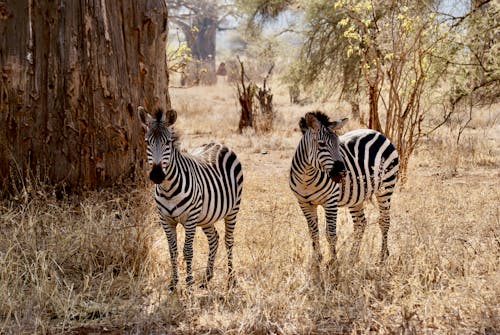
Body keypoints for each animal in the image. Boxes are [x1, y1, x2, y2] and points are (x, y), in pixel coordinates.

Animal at [139, 107, 244, 292]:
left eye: (168, 143)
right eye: (147, 142)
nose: (157, 175)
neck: (168, 189)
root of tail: (218, 143)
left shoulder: (190, 218)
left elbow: (187, 250)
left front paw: (188, 284)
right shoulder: (165, 219)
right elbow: (172, 250)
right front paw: (173, 283)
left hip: (232, 209)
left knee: (228, 241)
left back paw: (231, 279)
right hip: (206, 216)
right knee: (214, 239)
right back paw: (207, 277)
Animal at [290, 111, 398, 270]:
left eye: (338, 143)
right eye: (321, 144)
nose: (342, 173)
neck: (306, 178)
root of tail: (378, 133)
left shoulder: (330, 201)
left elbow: (331, 234)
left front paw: (333, 263)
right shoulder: (304, 203)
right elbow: (313, 233)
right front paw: (317, 261)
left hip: (386, 186)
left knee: (384, 221)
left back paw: (382, 258)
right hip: (356, 196)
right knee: (360, 223)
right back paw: (352, 258)